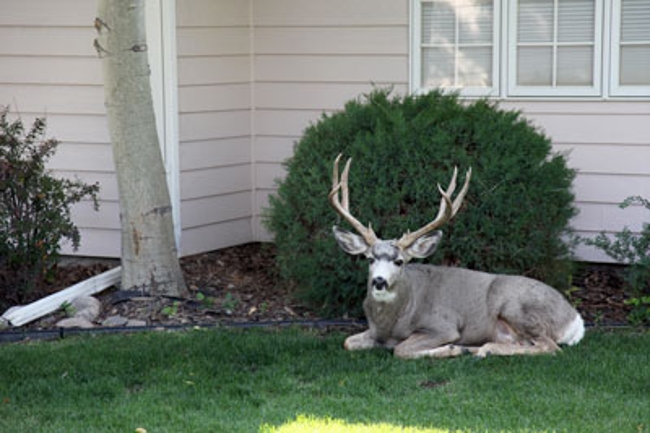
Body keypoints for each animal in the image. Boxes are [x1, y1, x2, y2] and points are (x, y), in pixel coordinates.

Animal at [330, 154, 584, 358]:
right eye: (370, 259)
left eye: (399, 261)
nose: (379, 281)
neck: (391, 322)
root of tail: (574, 319)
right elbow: (347, 342)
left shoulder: (443, 326)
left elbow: (401, 350)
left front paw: (452, 349)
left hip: (519, 308)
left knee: (550, 347)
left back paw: (481, 349)